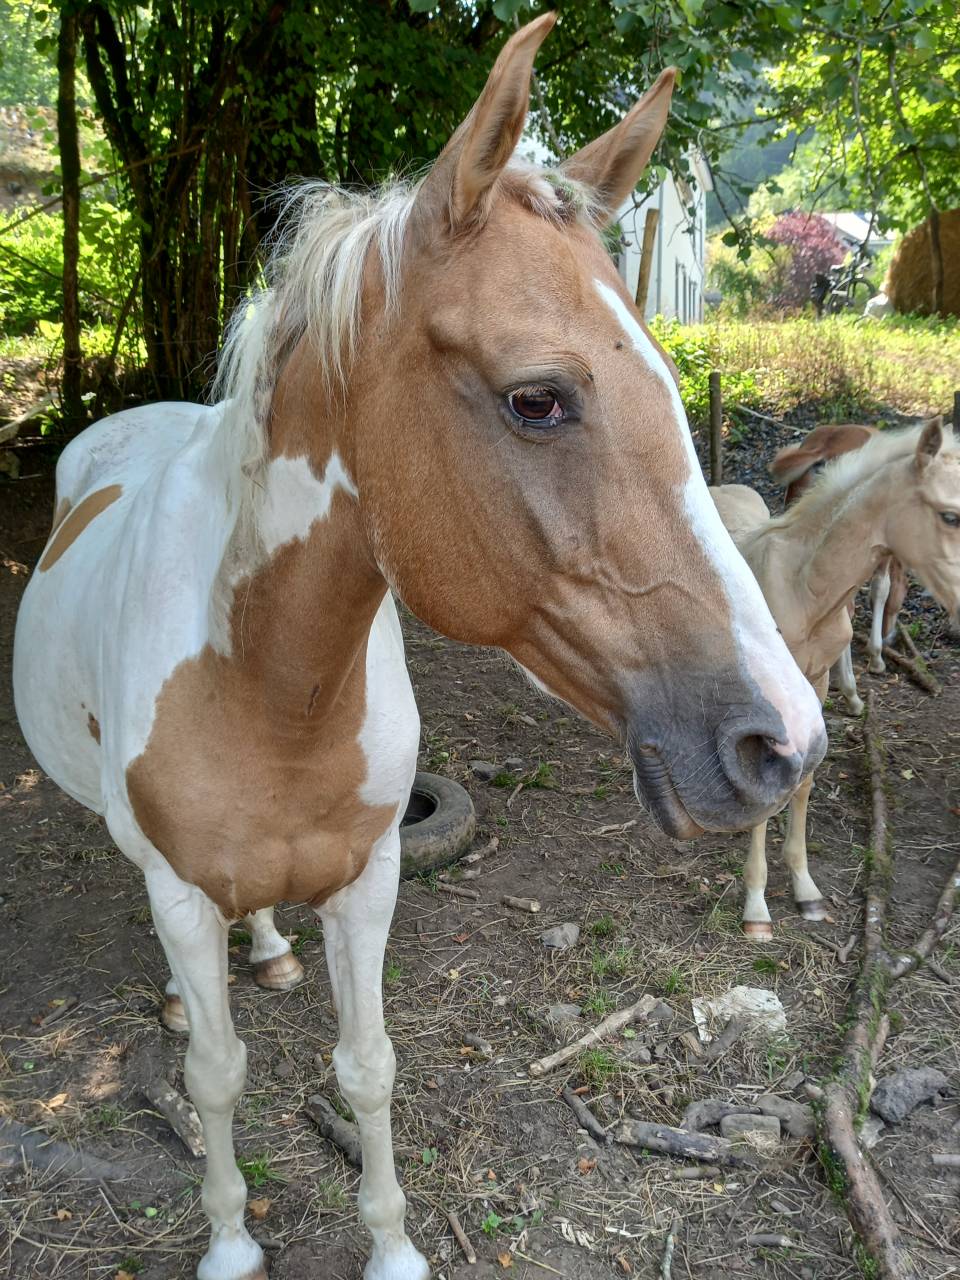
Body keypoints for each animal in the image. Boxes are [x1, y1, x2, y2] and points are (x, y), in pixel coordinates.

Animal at [13, 17, 825, 1279]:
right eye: (538, 398)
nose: (785, 739)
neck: (264, 682)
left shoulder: (369, 879)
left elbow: (370, 1066)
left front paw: (391, 1244)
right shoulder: (182, 892)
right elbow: (215, 1074)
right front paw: (231, 1238)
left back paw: (270, 951)